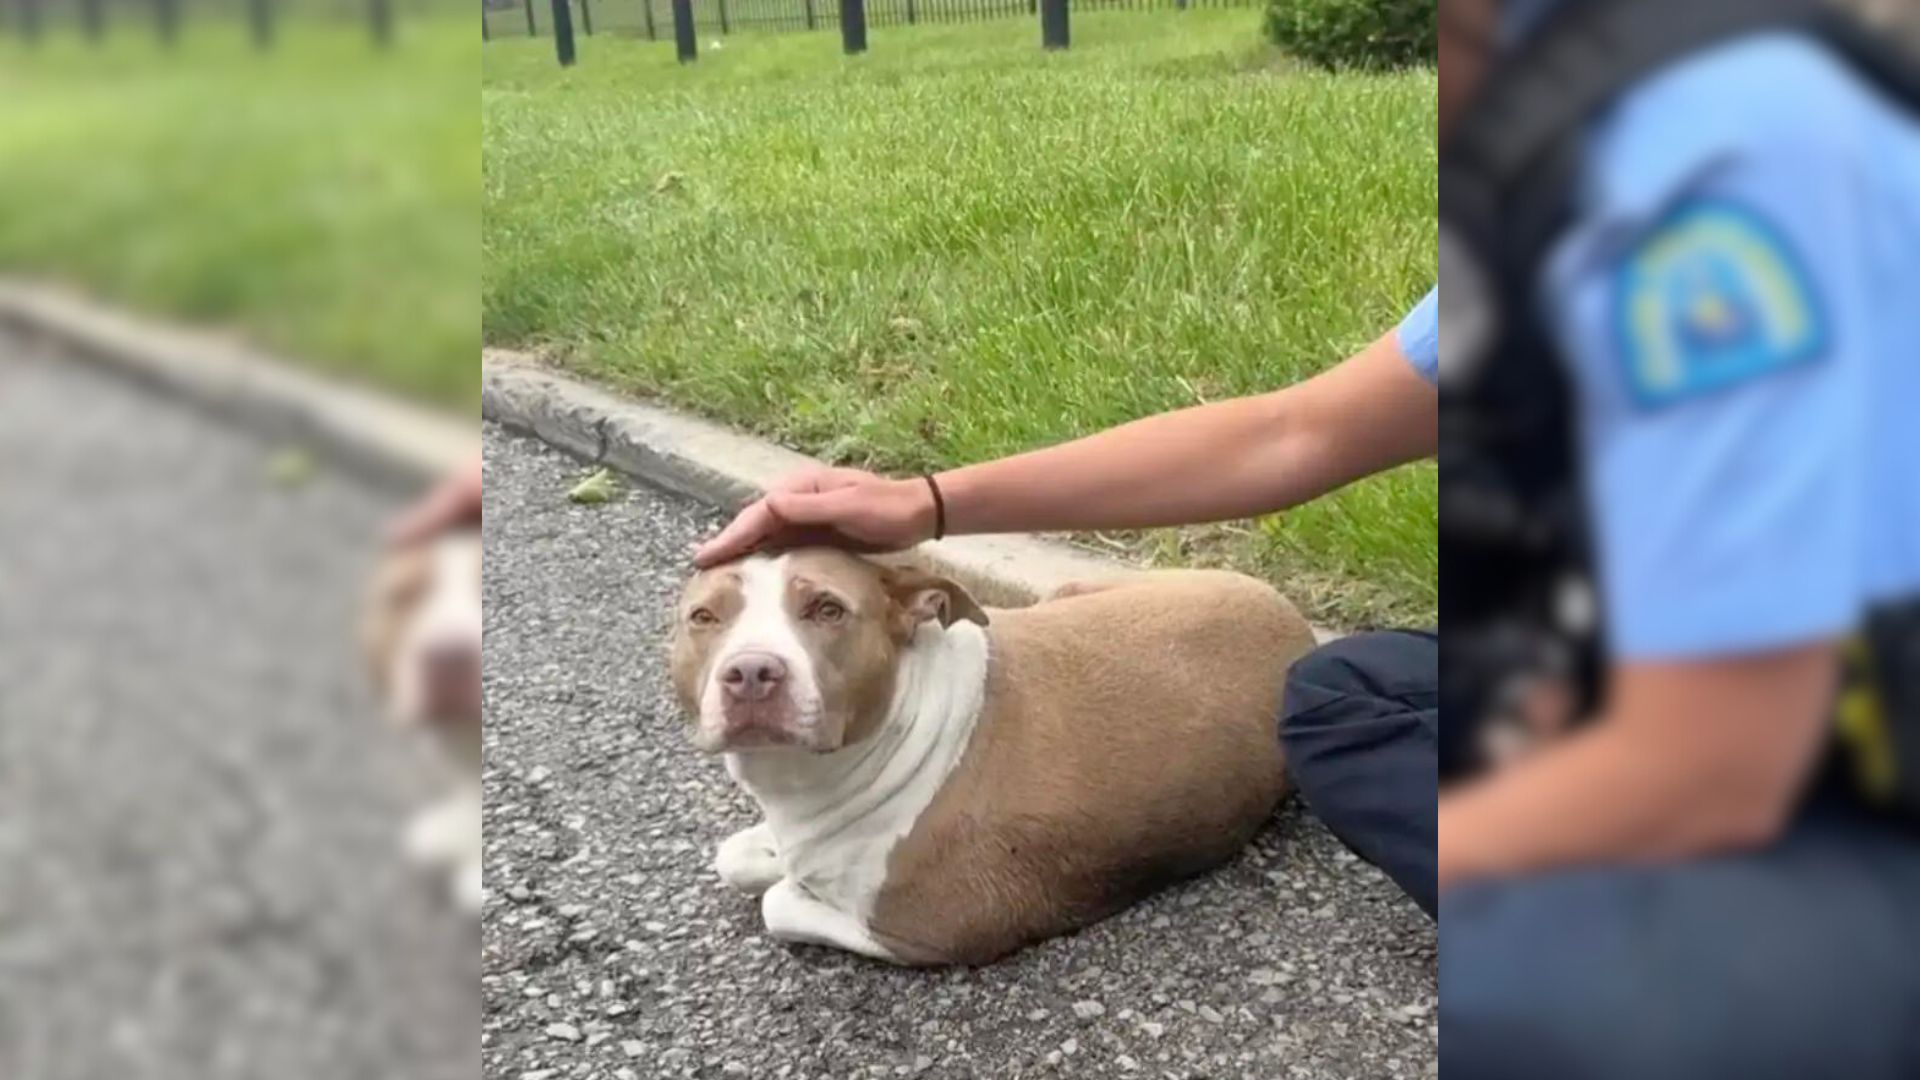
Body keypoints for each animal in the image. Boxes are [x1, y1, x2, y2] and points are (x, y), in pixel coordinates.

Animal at [668, 549, 1313, 960]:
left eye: (828, 608)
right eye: (703, 616)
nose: (751, 671)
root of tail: (1295, 621)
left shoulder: (929, 928)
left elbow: (779, 902)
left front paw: (792, 880)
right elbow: (736, 856)